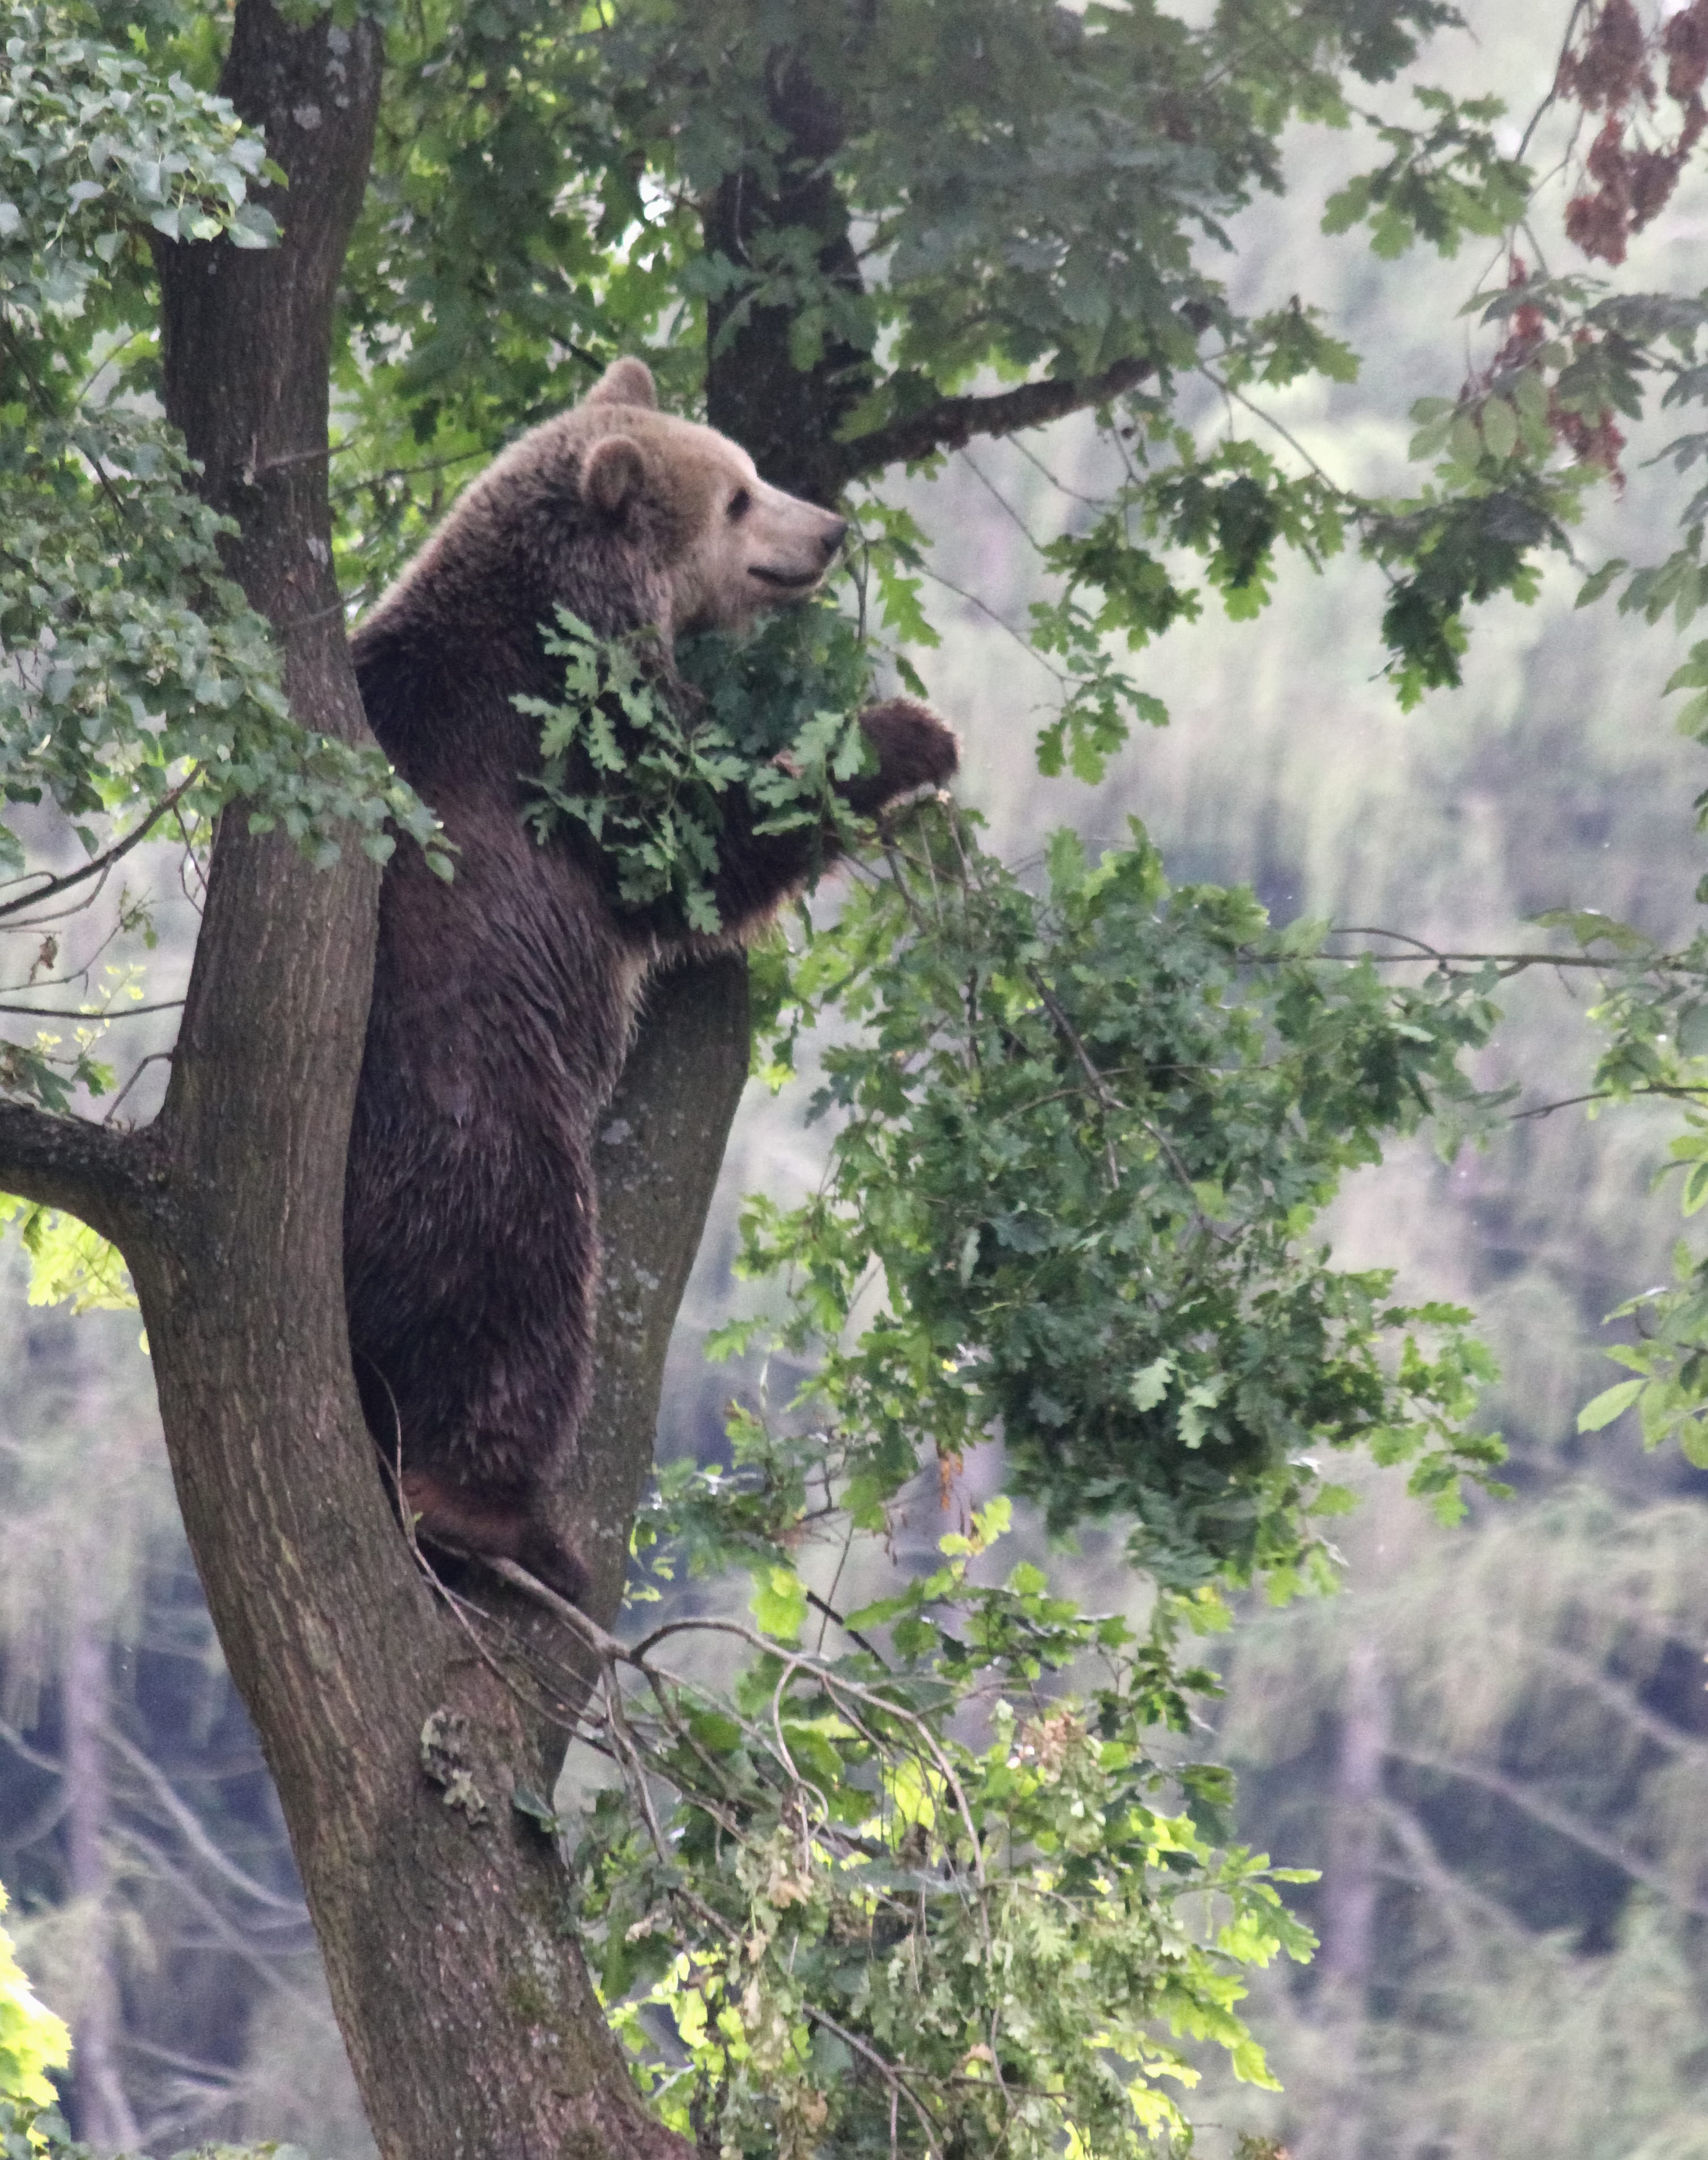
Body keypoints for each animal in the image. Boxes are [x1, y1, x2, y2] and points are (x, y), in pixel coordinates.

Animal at [345, 356, 959, 1604]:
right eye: (736, 496)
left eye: (753, 470)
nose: (828, 531)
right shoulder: (562, 742)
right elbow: (698, 843)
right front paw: (906, 736)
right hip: (478, 1120)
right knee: (514, 1294)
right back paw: (498, 1519)